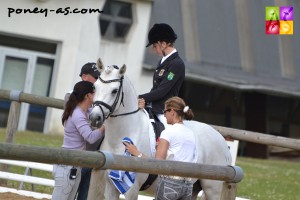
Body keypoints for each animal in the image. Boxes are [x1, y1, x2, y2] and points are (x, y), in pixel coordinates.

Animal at [87, 59, 232, 200]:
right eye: (94, 87)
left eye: (114, 90)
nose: (94, 118)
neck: (118, 139)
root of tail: (222, 141)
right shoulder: (111, 186)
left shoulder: (132, 190)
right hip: (194, 187)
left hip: (213, 189)